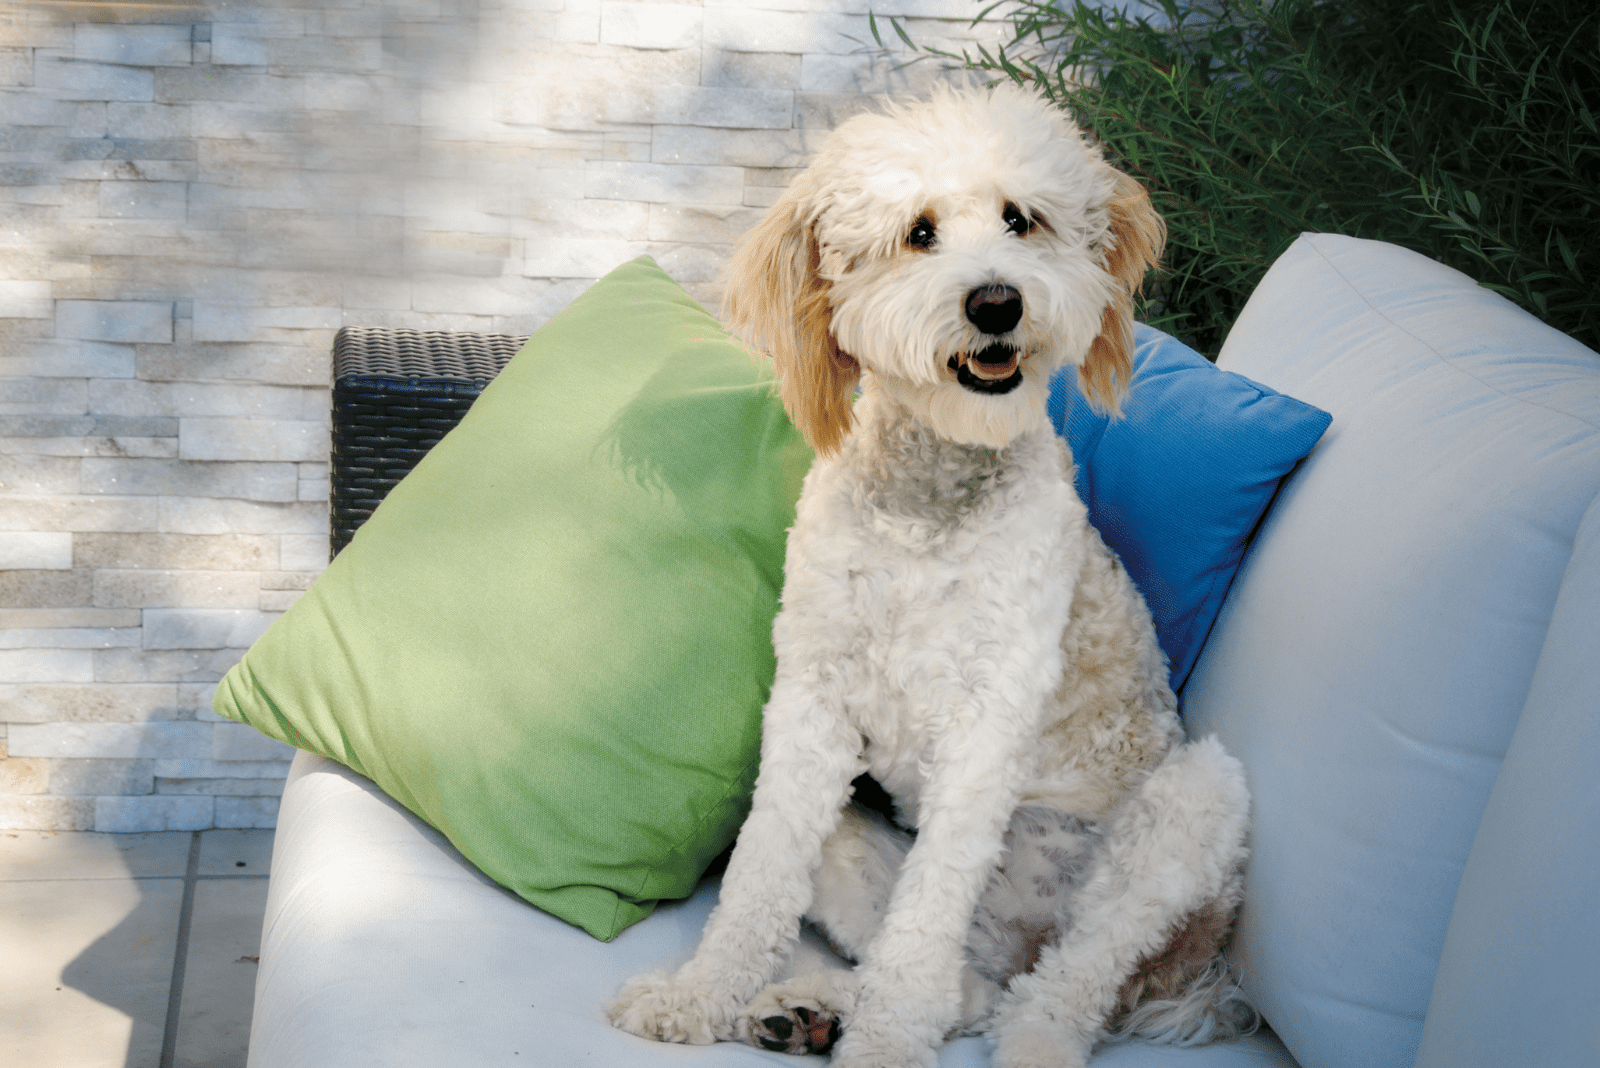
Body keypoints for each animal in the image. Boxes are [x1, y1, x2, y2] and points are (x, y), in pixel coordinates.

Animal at [604, 87, 1254, 1068]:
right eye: (918, 232)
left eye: (1022, 220)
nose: (997, 303)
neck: (931, 501)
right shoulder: (812, 701)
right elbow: (759, 875)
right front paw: (701, 995)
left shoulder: (987, 723)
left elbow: (928, 918)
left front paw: (886, 1046)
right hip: (858, 846)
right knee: (972, 985)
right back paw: (810, 1008)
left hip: (1192, 810)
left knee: (1057, 994)